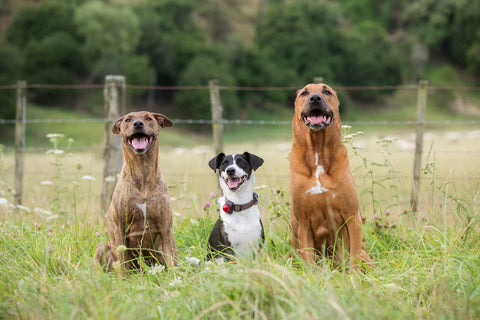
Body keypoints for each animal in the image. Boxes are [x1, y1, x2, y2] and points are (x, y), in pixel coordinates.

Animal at [94, 111, 177, 272]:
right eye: (127, 120)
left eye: (148, 118)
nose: (138, 123)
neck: (142, 171)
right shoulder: (120, 227)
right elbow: (123, 264)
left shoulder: (165, 228)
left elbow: (170, 259)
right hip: (102, 247)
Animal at [288, 83, 372, 270]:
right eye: (304, 93)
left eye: (327, 91)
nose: (315, 98)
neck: (317, 149)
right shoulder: (303, 222)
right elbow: (309, 260)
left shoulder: (352, 216)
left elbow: (354, 259)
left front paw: (354, 277)